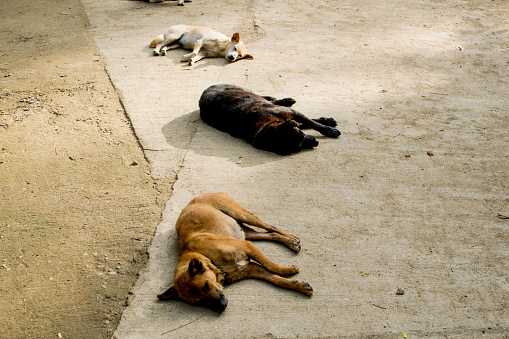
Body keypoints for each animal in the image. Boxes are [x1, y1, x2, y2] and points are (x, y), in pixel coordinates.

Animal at [157, 194, 312, 314]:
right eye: (198, 302)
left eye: (206, 286)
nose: (221, 307)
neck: (211, 260)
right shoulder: (252, 269)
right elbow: (276, 279)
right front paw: (299, 286)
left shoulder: (248, 247)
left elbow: (271, 266)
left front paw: (287, 270)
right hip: (246, 233)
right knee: (270, 234)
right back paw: (290, 242)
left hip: (241, 215)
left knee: (270, 227)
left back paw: (291, 240)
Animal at [199, 84, 342, 155]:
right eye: (300, 146)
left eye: (302, 136)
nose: (316, 142)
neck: (262, 123)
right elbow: (308, 123)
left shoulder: (292, 113)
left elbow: (313, 123)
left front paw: (329, 128)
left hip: (244, 89)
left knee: (266, 97)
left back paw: (284, 100)